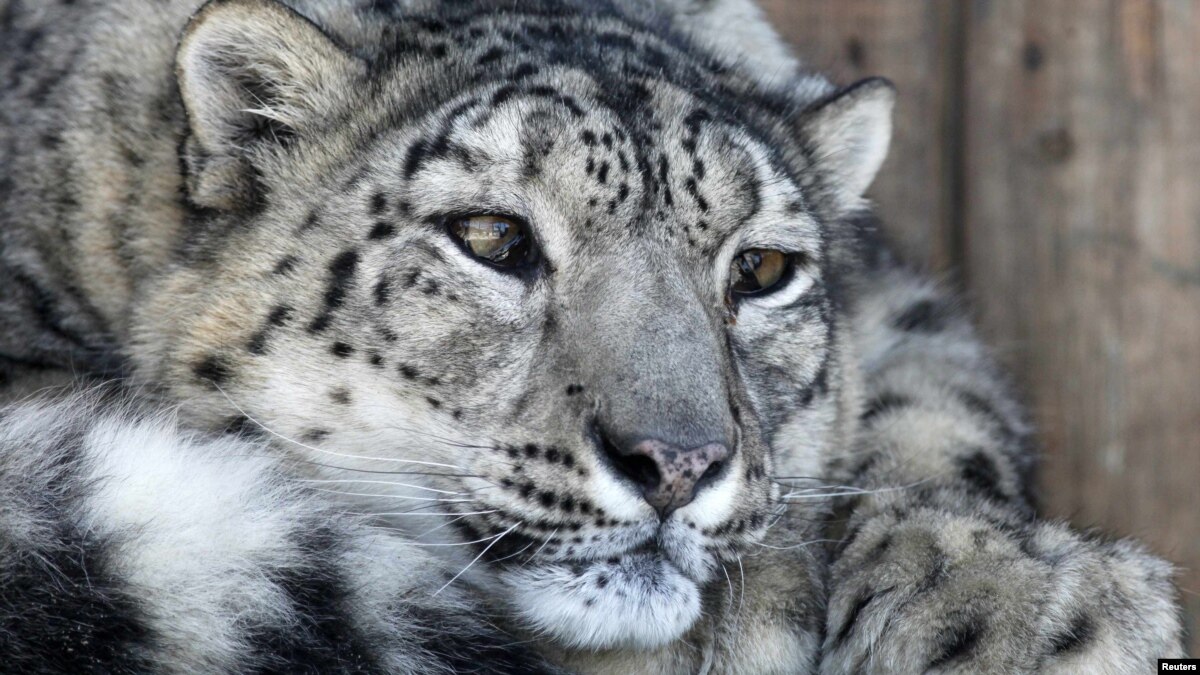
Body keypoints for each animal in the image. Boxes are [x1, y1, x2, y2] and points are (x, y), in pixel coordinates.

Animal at [0, 0, 1185, 672]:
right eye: (492, 236)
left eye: (762, 270)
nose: (679, 462)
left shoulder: (899, 294)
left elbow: (943, 404)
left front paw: (1017, 606)